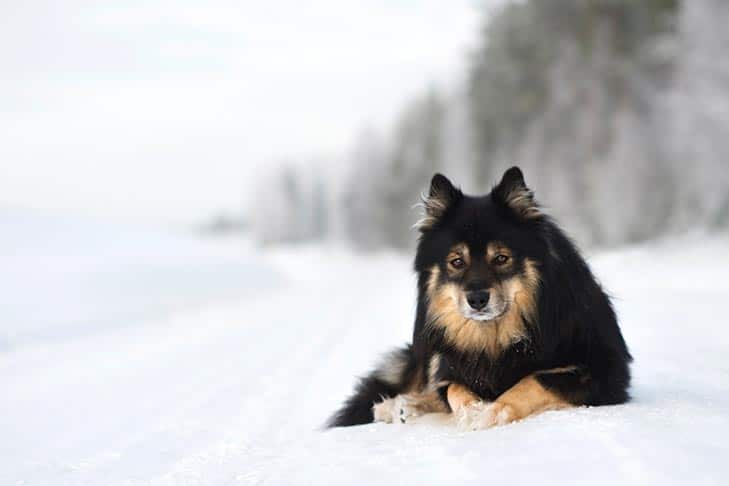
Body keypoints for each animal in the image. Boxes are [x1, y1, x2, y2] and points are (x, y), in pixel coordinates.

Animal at [330, 166, 632, 430]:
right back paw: (397, 406)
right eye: (456, 261)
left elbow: (534, 380)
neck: (498, 338)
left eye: (500, 258)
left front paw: (492, 412)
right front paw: (472, 410)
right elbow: (452, 389)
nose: (477, 299)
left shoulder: (603, 369)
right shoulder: (448, 366)